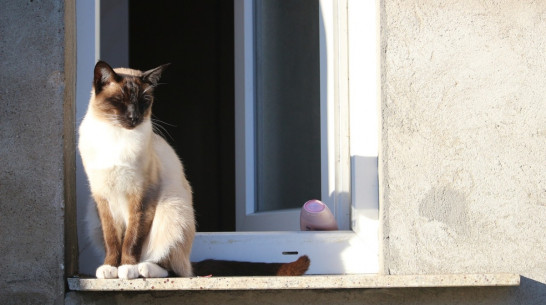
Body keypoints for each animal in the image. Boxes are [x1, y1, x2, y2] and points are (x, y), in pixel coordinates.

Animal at [78, 60, 308, 278]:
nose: (135, 117)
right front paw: (110, 267)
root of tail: (189, 261)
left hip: (171, 209)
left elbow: (132, 239)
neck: (116, 136)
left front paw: (127, 267)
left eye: (144, 102)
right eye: (120, 101)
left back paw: (143, 268)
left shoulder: (142, 195)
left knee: (174, 268)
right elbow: (112, 239)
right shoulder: (102, 197)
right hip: (93, 213)